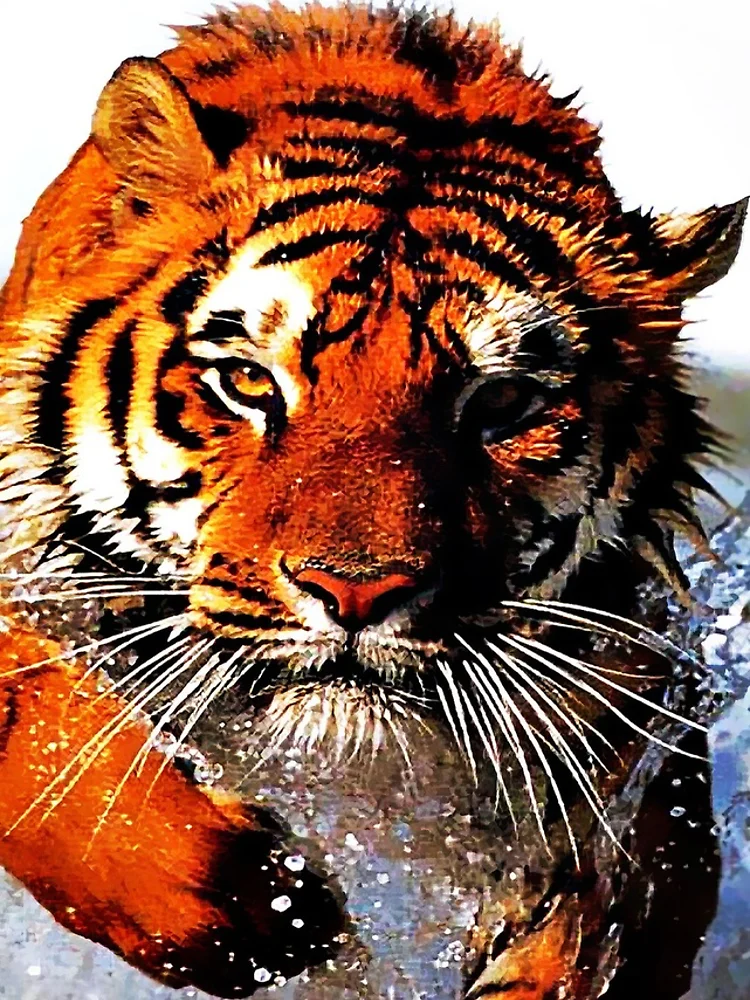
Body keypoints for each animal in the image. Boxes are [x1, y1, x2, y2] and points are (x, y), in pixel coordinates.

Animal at [0, 2, 745, 997]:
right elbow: (31, 718)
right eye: (247, 381)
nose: (357, 592)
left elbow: (631, 888)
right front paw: (252, 904)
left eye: (500, 404)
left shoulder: (638, 700)